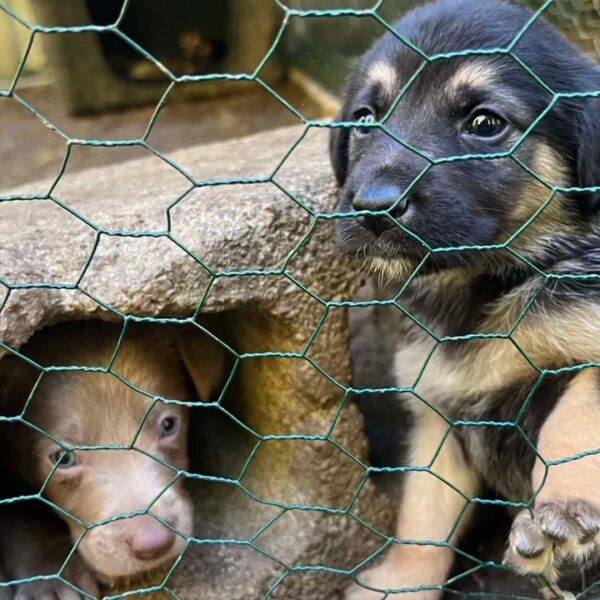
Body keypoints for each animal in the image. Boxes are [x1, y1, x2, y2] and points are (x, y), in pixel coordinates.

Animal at [332, 0, 600, 596]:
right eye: (365, 120)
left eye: (485, 123)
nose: (372, 207)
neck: (483, 288)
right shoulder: (437, 415)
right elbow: (422, 516)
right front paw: (402, 582)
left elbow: (575, 417)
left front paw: (564, 513)